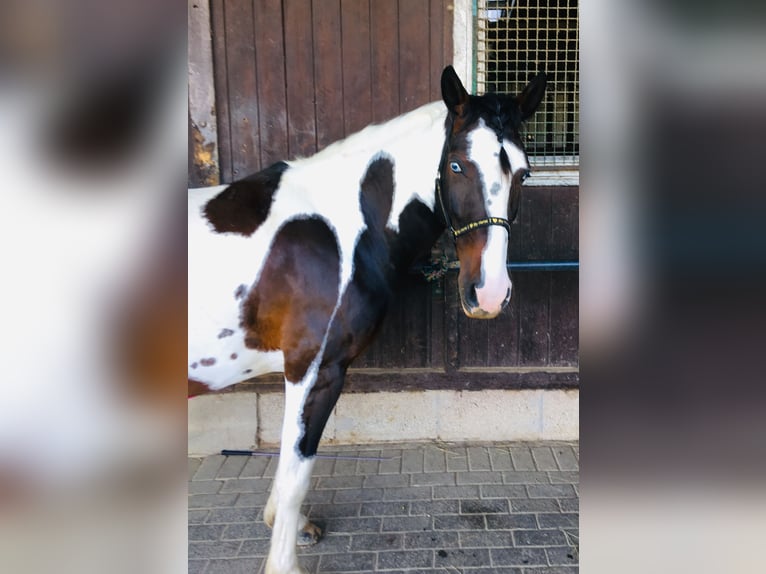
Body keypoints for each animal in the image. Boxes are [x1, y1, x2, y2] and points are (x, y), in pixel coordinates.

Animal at [189, 65, 548, 572]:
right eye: (457, 165)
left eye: (523, 172)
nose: (490, 293)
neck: (338, 231)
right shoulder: (314, 370)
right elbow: (297, 468)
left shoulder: (295, 371)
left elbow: (287, 456)